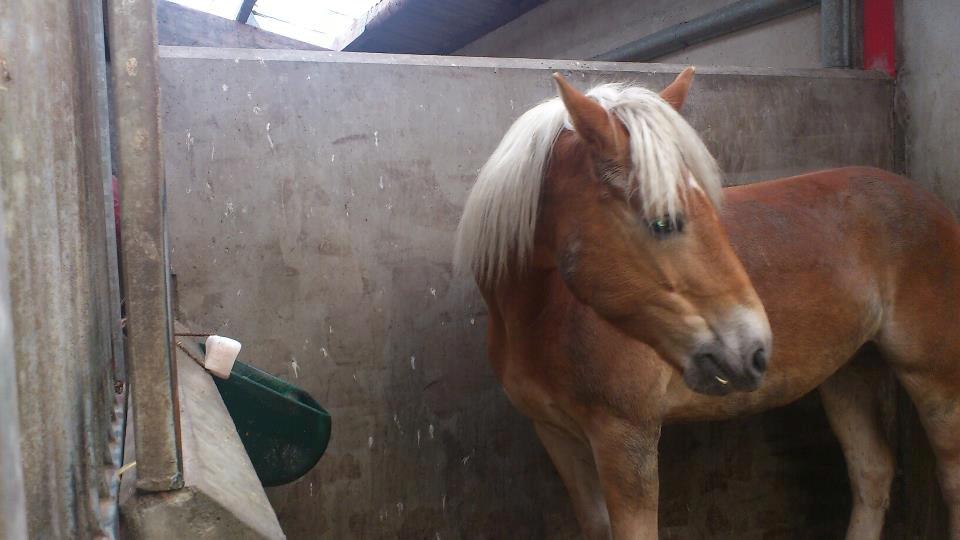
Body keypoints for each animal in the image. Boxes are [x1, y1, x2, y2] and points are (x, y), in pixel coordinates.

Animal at [454, 68, 960, 540]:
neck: (543, 316)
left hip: (933, 377)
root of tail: (932, 205)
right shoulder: (558, 435)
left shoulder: (625, 439)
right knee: (871, 472)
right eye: (663, 222)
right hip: (847, 373)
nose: (755, 350)